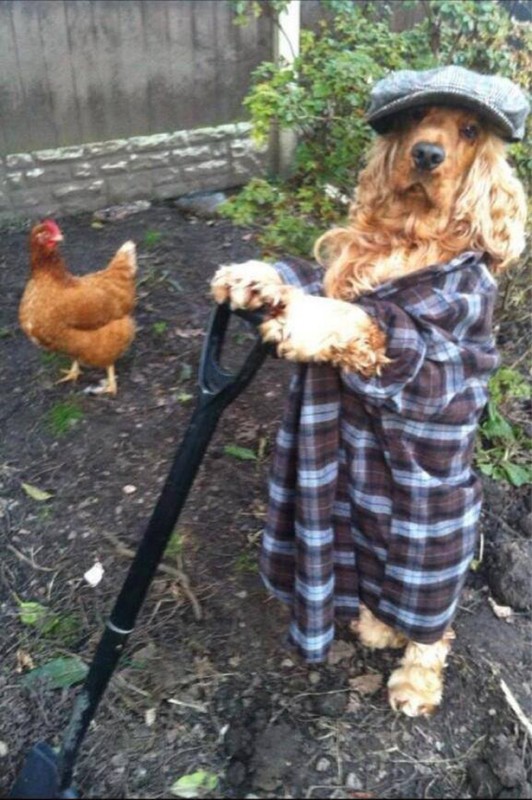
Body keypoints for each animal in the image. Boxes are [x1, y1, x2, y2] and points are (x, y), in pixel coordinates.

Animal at [211, 70, 528, 720]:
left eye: (468, 129)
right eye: (415, 119)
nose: (426, 154)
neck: (413, 233)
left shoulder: (435, 352)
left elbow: (363, 319)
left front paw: (302, 320)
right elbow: (319, 281)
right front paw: (256, 277)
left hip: (438, 541)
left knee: (433, 623)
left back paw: (415, 682)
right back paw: (377, 627)